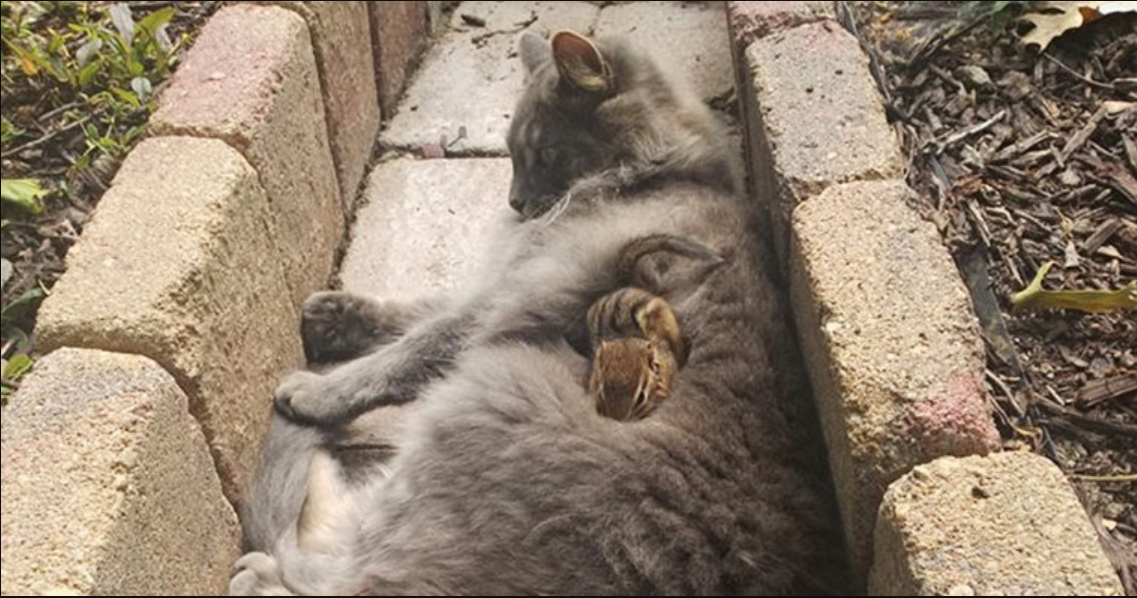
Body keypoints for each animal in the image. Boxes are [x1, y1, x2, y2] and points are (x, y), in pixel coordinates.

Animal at [235, 31, 845, 595]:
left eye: (546, 153)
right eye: (508, 154)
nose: (515, 202)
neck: (657, 174)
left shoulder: (517, 294)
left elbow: (412, 347)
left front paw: (319, 391)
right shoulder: (502, 280)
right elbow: (418, 310)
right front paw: (334, 316)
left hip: (484, 395)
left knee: (338, 569)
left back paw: (262, 559)